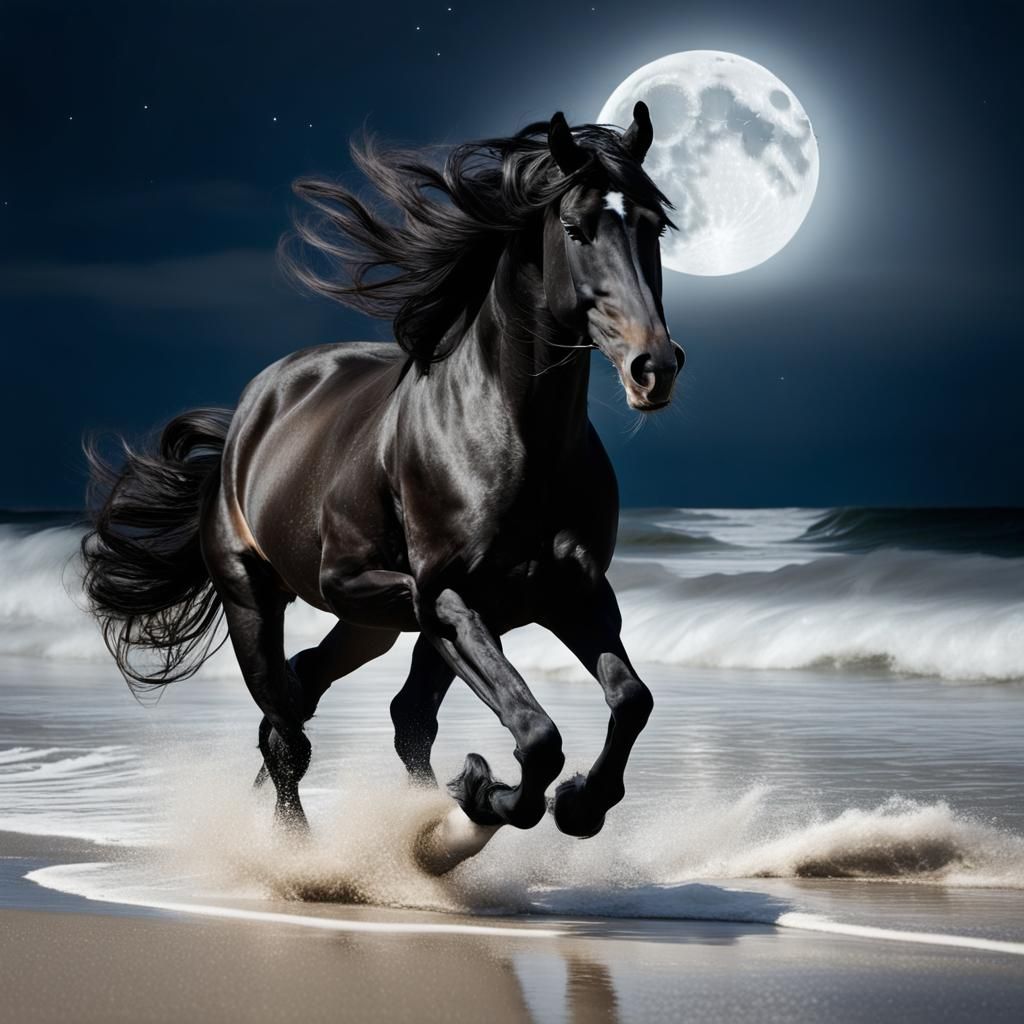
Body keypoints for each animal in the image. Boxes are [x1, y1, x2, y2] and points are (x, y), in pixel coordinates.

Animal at [81, 104, 683, 872]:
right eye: (576, 228)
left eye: (654, 226)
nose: (653, 366)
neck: (510, 435)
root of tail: (249, 416)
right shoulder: (448, 597)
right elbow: (536, 735)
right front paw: (486, 793)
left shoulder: (567, 592)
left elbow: (630, 700)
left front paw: (573, 805)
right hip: (256, 600)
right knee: (288, 725)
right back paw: (305, 859)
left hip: (370, 627)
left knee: (344, 702)